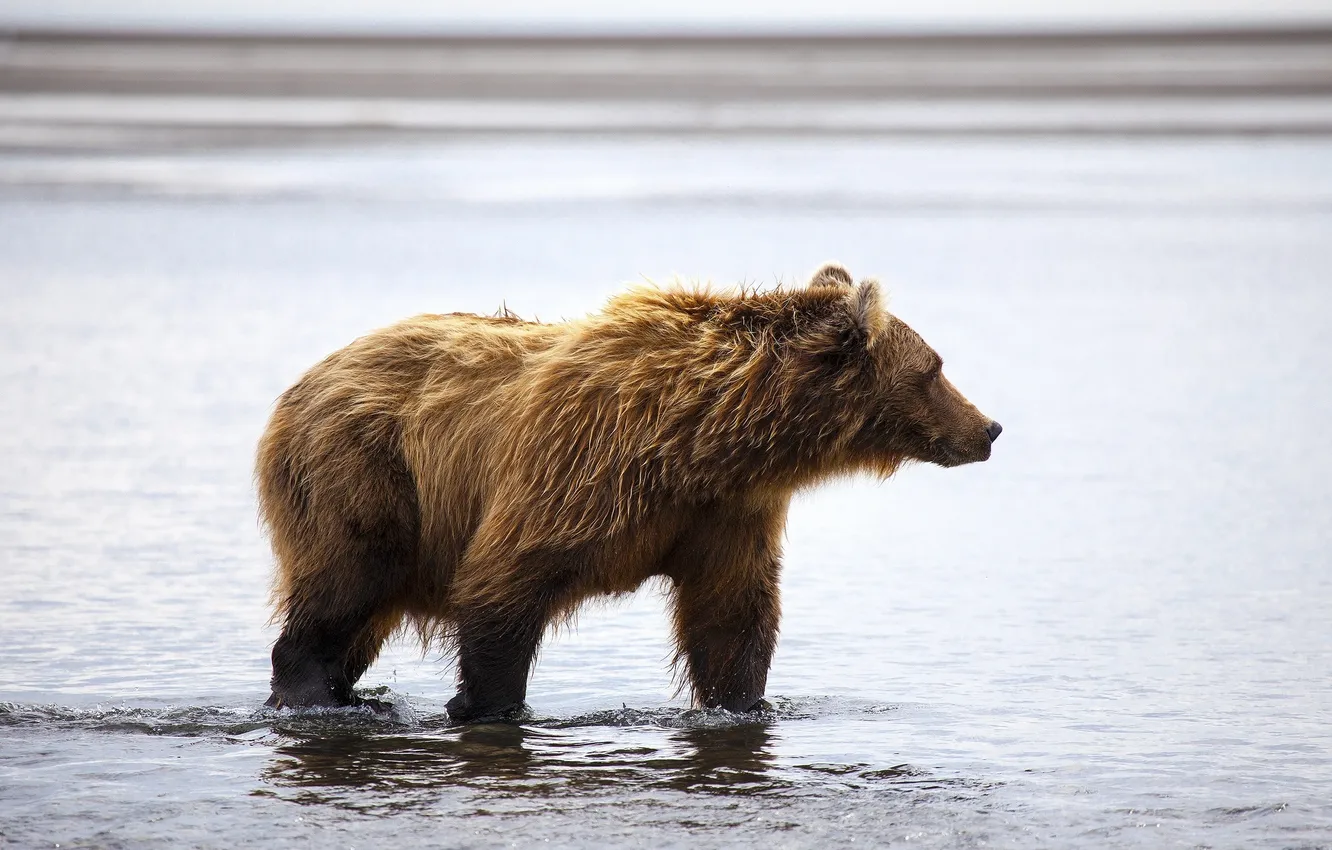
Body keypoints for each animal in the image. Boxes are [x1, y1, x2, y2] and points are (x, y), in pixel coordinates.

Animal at [257, 265, 1001, 719]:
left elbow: (732, 618)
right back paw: (313, 691)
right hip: (364, 471)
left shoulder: (727, 513)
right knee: (344, 584)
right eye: (934, 367)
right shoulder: (577, 471)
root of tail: (301, 383)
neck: (706, 440)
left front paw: (744, 702)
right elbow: (505, 582)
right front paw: (488, 705)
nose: (989, 427)